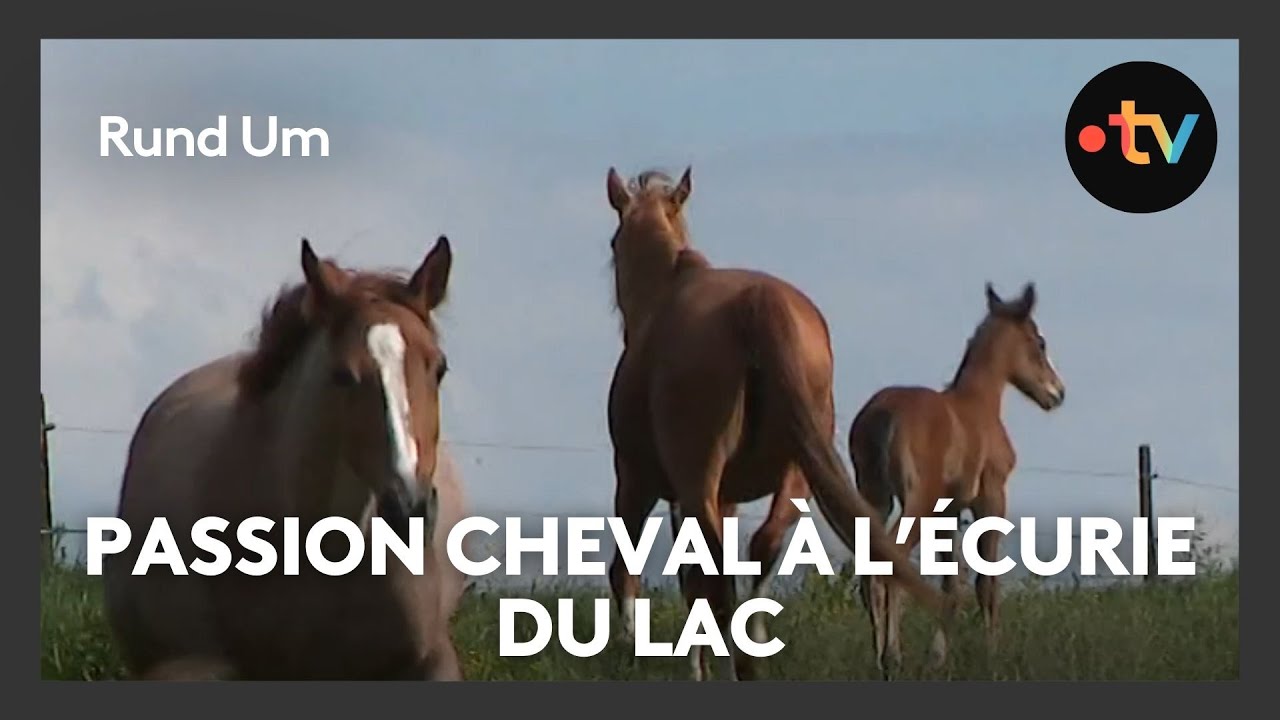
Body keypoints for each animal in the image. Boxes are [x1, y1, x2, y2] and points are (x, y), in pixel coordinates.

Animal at [601, 166, 953, 681]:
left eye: (614, 241)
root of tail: (756, 302)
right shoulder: (723, 496)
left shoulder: (637, 480)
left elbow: (632, 571)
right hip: (794, 474)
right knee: (760, 549)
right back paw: (748, 660)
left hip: (695, 479)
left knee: (715, 574)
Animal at [849, 281, 1066, 679]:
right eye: (1039, 341)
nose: (1057, 393)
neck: (980, 403)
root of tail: (884, 413)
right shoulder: (991, 497)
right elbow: (985, 582)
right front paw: (992, 655)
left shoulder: (949, 511)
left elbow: (951, 580)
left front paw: (938, 656)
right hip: (915, 502)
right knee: (891, 562)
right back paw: (892, 657)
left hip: (873, 494)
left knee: (869, 569)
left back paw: (877, 658)